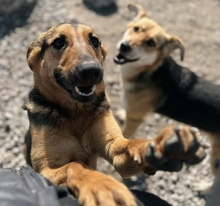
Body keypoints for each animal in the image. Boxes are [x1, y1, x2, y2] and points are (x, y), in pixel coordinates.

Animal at [24, 22, 206, 206]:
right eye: (58, 42)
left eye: (94, 41)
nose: (91, 71)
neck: (76, 112)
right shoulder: (46, 169)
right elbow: (74, 165)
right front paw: (100, 185)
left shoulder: (113, 146)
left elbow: (131, 144)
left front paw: (159, 144)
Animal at [113, 3, 220, 174]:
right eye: (136, 28)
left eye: (151, 43)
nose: (125, 46)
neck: (148, 71)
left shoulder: (135, 118)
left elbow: (124, 135)